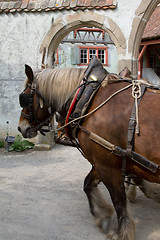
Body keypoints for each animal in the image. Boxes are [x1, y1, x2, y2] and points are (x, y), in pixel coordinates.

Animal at [17, 60, 160, 240]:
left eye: (25, 97)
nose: (21, 127)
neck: (89, 99)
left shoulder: (106, 165)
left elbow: (118, 199)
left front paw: (122, 232)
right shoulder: (101, 161)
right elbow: (88, 184)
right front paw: (102, 215)